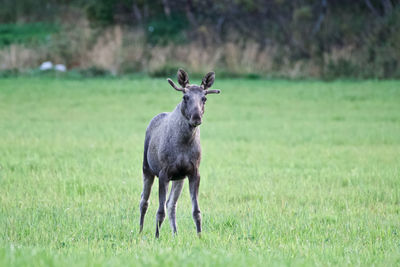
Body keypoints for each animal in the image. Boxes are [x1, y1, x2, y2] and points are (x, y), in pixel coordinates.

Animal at [140, 69, 222, 239]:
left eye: (204, 98)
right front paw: (156, 236)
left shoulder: (193, 173)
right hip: (147, 168)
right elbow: (160, 211)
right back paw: (140, 231)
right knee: (144, 201)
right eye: (185, 97)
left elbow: (196, 211)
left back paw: (175, 234)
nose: (196, 117)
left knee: (171, 204)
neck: (184, 143)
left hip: (179, 178)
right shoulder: (163, 173)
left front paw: (199, 236)